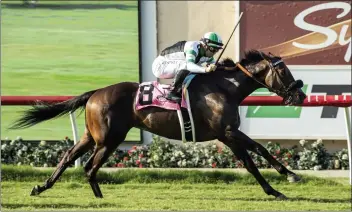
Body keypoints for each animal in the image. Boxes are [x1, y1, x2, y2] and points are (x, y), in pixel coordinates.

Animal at [8, 50, 306, 200]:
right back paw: (99, 197)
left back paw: (42, 187)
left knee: (69, 157)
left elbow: (254, 158)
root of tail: (95, 93)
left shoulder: (227, 135)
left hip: (91, 136)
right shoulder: (228, 133)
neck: (225, 88)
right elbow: (257, 155)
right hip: (109, 138)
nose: (301, 95)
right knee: (90, 166)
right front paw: (285, 179)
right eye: (283, 70)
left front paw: (280, 184)